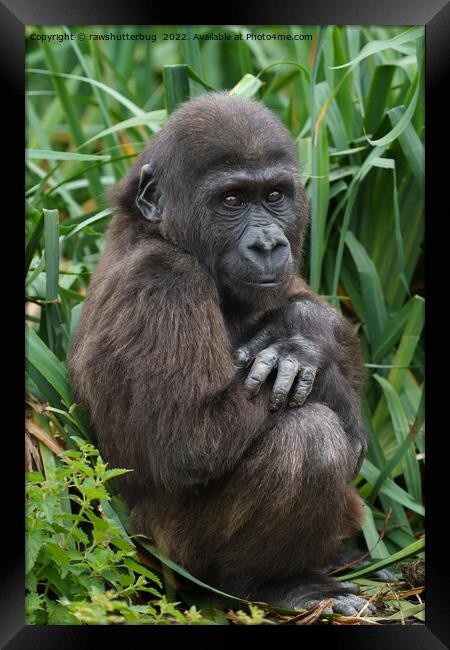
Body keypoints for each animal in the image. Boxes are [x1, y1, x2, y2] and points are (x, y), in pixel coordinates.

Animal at [69, 91, 372, 612]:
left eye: (275, 196)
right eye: (232, 200)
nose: (268, 243)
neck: (160, 232)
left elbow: (322, 322)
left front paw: (302, 333)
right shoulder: (164, 281)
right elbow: (189, 440)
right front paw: (303, 358)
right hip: (170, 562)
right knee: (309, 438)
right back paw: (274, 584)